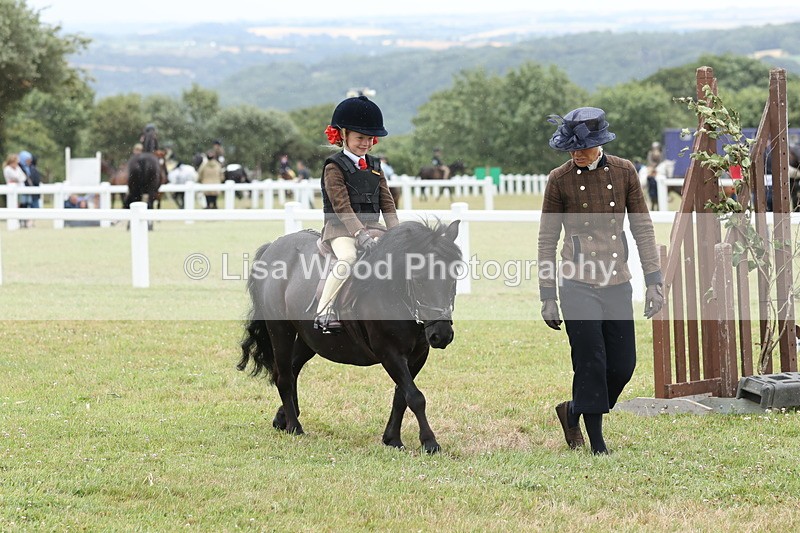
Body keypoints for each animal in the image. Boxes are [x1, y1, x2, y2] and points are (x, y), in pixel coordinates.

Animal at [238, 220, 462, 453]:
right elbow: (415, 397)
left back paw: (282, 418)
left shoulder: (418, 355)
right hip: (280, 330)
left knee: (292, 369)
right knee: (283, 377)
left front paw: (392, 439)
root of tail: (272, 248)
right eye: (419, 280)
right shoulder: (389, 353)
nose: (441, 335)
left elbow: (402, 396)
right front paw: (429, 442)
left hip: (310, 339)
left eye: (454, 276)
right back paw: (294, 426)